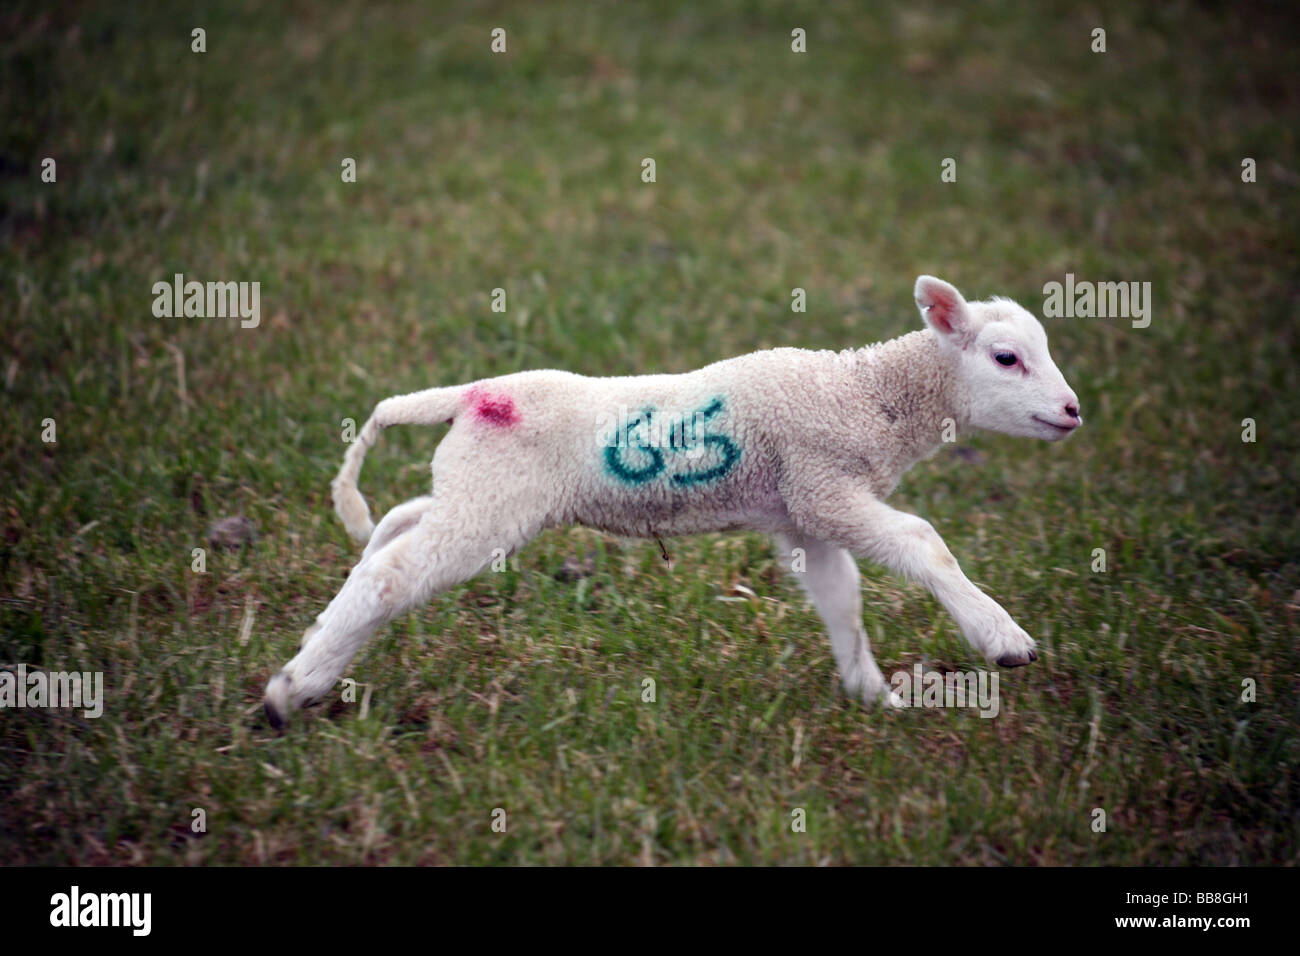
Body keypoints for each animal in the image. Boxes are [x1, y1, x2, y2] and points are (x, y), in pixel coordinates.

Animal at [264, 275, 1081, 727]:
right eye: (1007, 358)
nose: (1074, 411)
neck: (865, 393)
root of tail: (468, 396)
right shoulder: (826, 486)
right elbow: (922, 542)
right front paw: (1003, 638)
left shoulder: (805, 510)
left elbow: (839, 597)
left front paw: (872, 696)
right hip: (492, 503)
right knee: (393, 573)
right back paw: (289, 692)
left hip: (472, 487)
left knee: (394, 527)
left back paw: (316, 652)